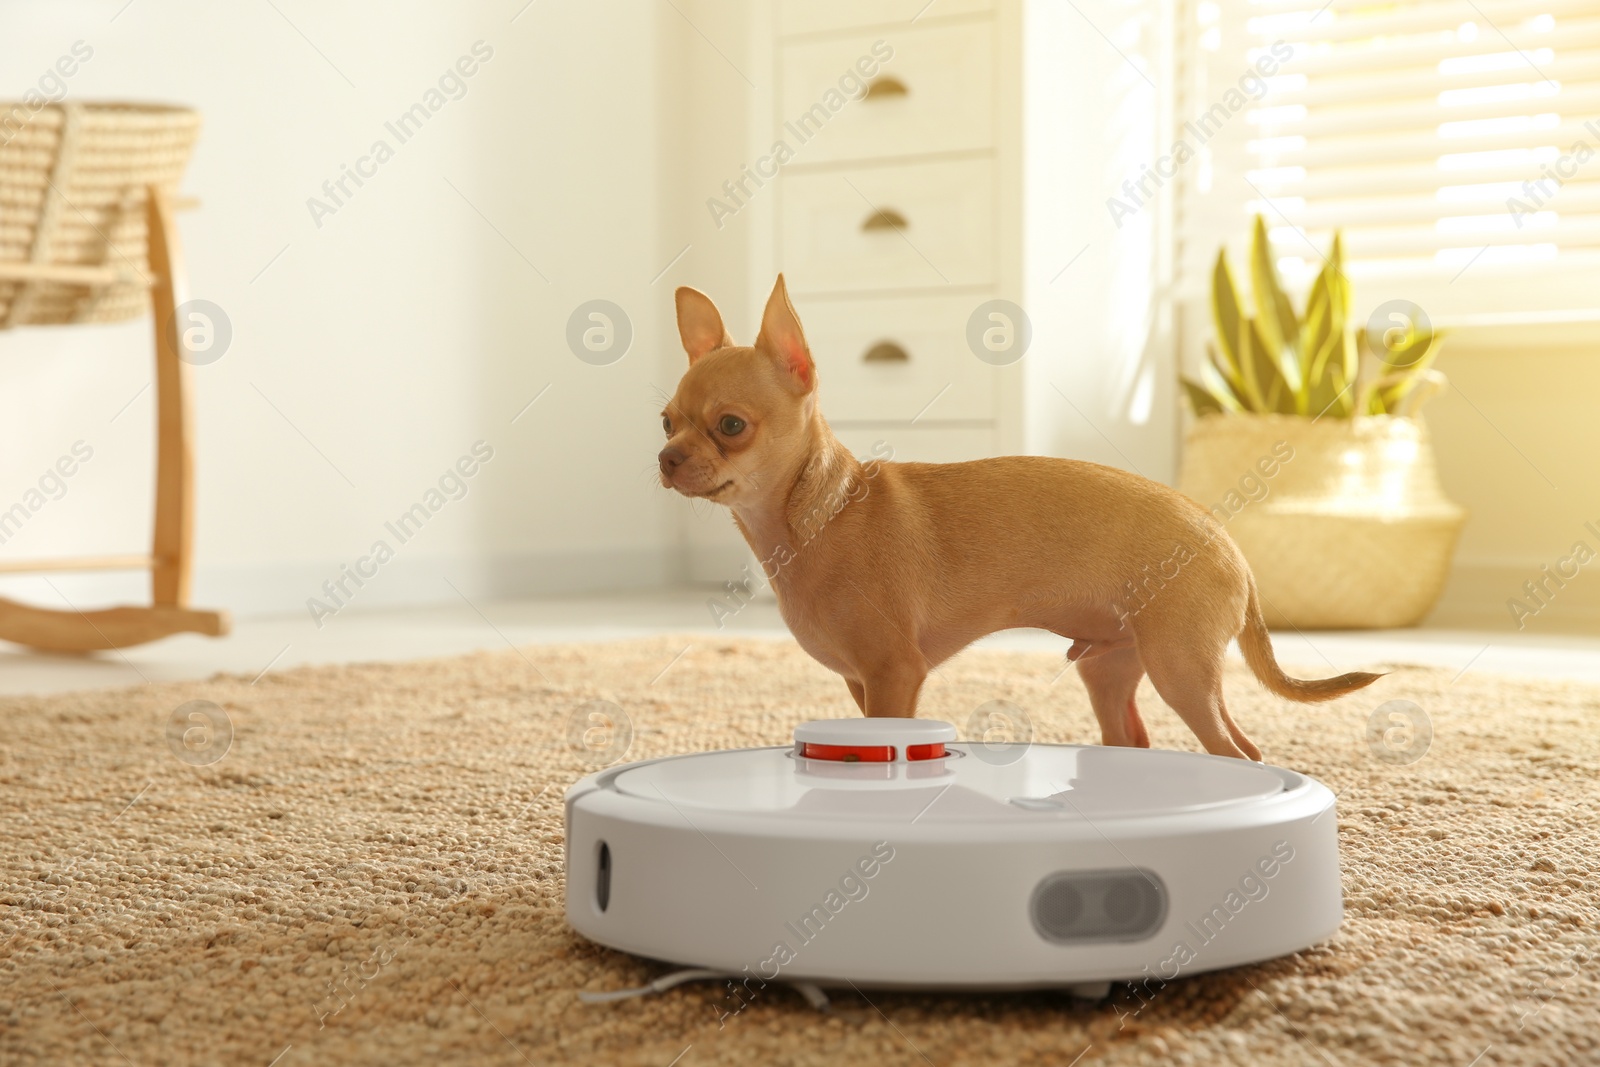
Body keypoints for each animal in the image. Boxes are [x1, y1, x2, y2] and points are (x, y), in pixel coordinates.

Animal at [656, 275, 1382, 758]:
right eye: (666, 421)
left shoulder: (894, 676)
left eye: (730, 426)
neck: (821, 514)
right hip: (1109, 667)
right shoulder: (864, 685)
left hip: (1180, 669)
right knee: (1136, 738)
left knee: (1240, 752)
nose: (665, 457)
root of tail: (1231, 546)